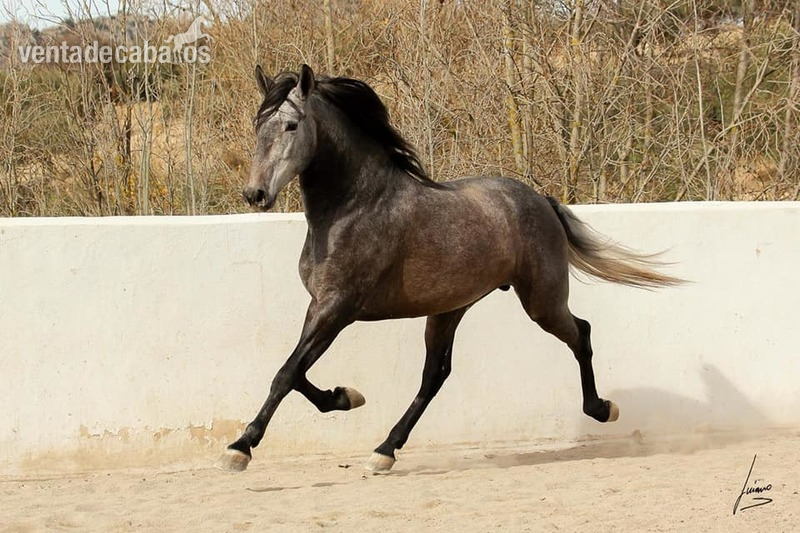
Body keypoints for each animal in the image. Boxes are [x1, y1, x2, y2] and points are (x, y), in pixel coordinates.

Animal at [218, 64, 683, 473]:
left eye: (291, 126)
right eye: (258, 125)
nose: (255, 194)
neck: (354, 207)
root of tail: (540, 200)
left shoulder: (337, 308)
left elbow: (286, 372)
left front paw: (240, 447)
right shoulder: (319, 307)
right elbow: (295, 371)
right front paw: (346, 396)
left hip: (541, 302)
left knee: (580, 333)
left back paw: (603, 409)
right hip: (449, 309)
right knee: (435, 376)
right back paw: (385, 450)